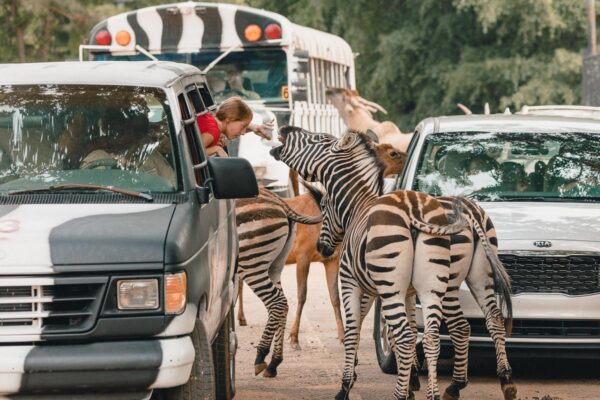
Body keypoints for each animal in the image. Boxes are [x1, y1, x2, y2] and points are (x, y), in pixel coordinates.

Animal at [234, 186, 324, 376]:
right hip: (274, 265)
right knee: (282, 305)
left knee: (278, 302)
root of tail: (279, 201)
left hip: (253, 263)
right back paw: (274, 363)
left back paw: (261, 356)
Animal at [270, 127, 466, 400]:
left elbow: (354, 329)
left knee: (406, 337)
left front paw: (345, 386)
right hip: (431, 286)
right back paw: (433, 394)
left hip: (391, 286)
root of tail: (414, 211)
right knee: (431, 338)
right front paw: (410, 383)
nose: (285, 129)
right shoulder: (403, 291)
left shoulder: (352, 281)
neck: (357, 204)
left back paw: (399, 395)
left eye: (318, 138)